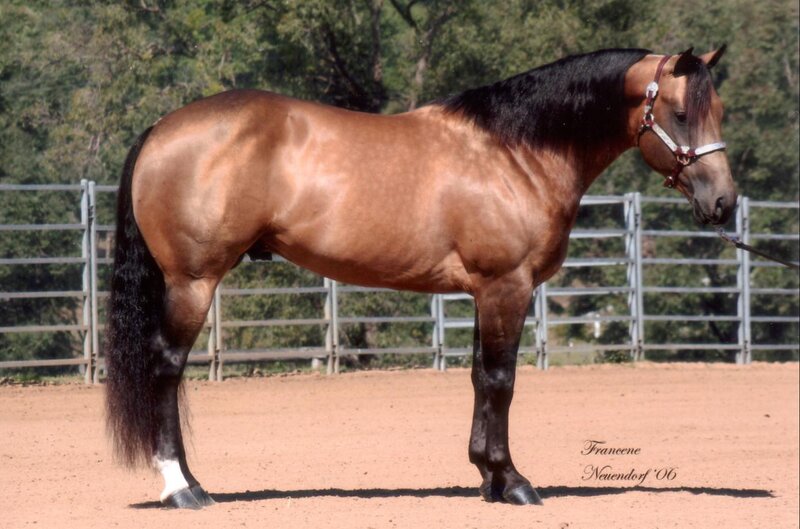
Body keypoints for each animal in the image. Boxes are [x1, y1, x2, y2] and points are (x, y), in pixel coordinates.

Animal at [105, 47, 734, 509]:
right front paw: (514, 482)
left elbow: (481, 379)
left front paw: (488, 478)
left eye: (720, 110)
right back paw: (183, 489)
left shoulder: (486, 291)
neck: (514, 152)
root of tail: (163, 127)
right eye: (681, 113)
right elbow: (502, 380)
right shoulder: (507, 286)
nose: (723, 202)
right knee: (165, 369)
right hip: (192, 282)